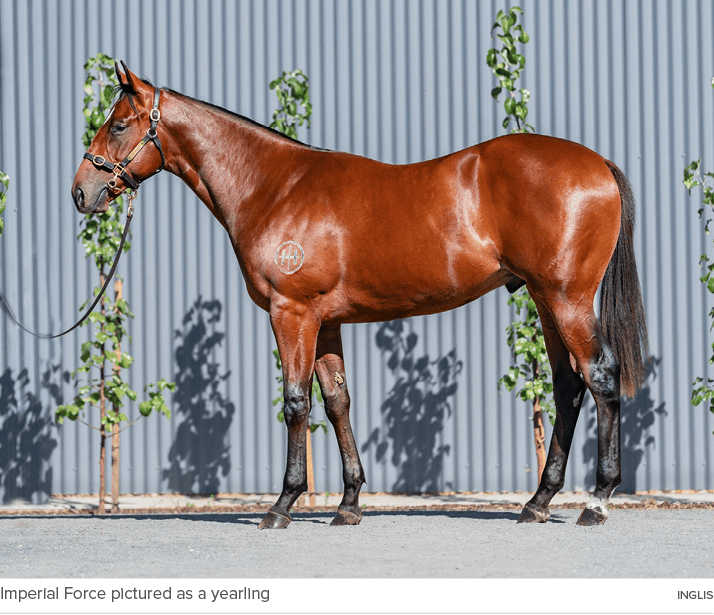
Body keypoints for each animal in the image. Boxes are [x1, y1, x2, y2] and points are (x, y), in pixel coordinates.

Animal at [71, 63, 644, 528]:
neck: (273, 187)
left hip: (567, 299)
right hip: (546, 301)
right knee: (568, 386)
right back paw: (538, 502)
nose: (81, 191)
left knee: (600, 377)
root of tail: (598, 165)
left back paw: (596, 502)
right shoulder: (325, 321)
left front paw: (283, 505)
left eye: (118, 124)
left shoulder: (292, 313)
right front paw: (348, 504)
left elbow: (296, 402)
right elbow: (337, 402)